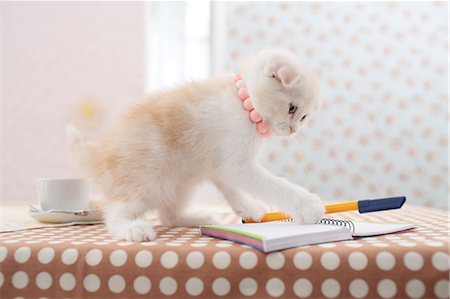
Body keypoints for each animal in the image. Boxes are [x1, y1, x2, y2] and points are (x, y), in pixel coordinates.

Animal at [67, 48, 324, 241]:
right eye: (291, 108)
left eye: (303, 117)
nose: (293, 130)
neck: (243, 104)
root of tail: (101, 158)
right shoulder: (236, 165)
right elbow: (272, 185)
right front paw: (308, 205)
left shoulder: (219, 163)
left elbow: (230, 187)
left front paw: (248, 208)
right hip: (147, 179)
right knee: (115, 212)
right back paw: (133, 228)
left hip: (180, 183)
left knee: (168, 215)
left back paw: (199, 218)